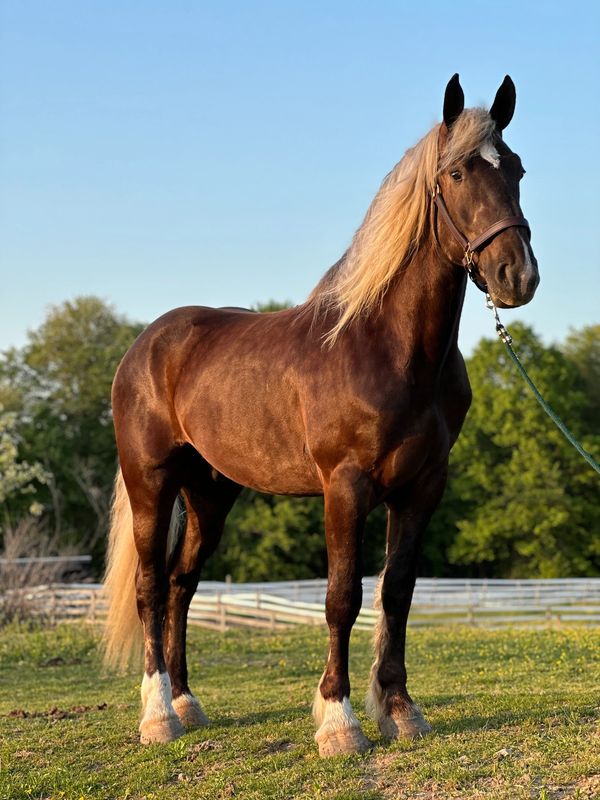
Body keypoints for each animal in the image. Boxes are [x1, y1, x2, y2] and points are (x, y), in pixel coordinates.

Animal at [103, 74, 538, 757]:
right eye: (458, 173)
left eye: (516, 168)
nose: (516, 276)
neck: (387, 346)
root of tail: (146, 344)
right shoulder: (346, 486)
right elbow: (342, 597)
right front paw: (340, 722)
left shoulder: (421, 488)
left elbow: (397, 592)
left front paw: (400, 710)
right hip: (152, 483)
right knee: (150, 587)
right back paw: (158, 717)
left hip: (210, 495)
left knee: (181, 584)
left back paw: (188, 703)